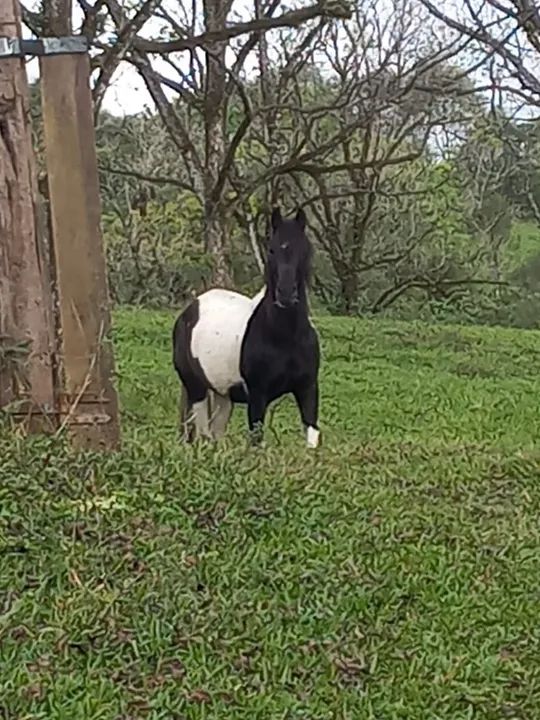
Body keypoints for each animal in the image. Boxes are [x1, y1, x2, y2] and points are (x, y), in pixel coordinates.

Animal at [172, 206, 320, 448]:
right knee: (204, 436)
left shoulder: (308, 390)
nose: (286, 294)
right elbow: (256, 441)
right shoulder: (258, 396)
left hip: (223, 396)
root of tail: (190, 310)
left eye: (305, 250)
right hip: (196, 389)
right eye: (271, 250)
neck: (284, 336)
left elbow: (312, 439)